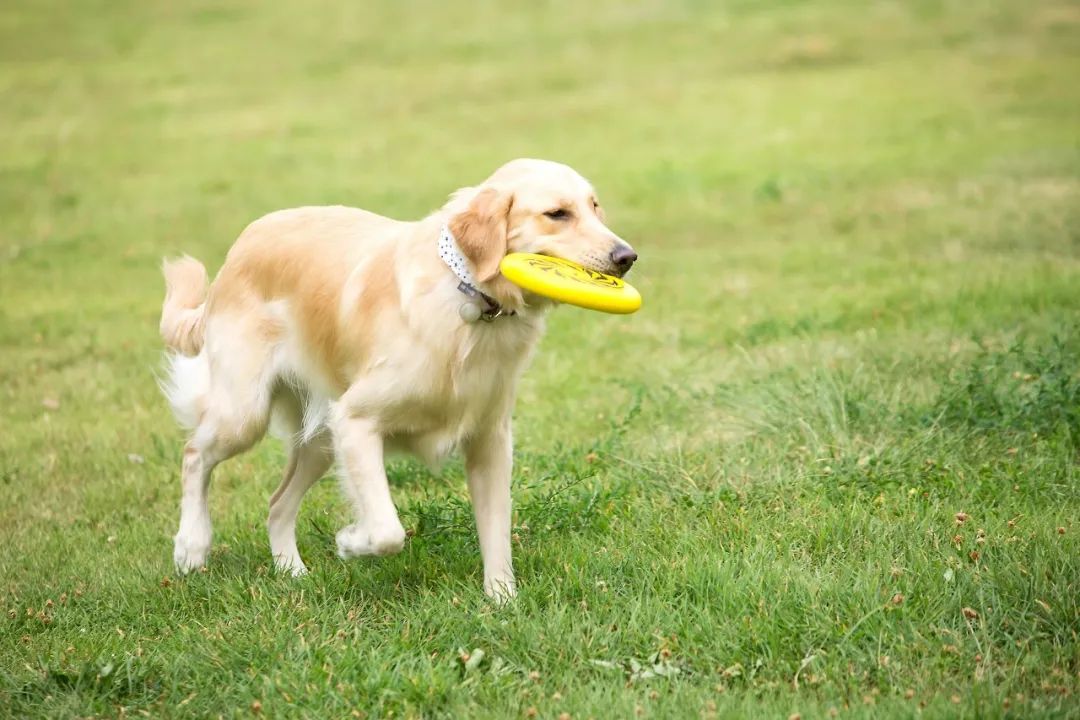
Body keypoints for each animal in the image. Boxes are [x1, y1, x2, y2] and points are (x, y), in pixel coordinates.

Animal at [156, 158, 635, 604]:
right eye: (557, 214)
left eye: (594, 207)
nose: (627, 257)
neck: (469, 300)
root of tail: (242, 244)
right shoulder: (356, 421)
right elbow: (388, 530)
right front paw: (351, 542)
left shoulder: (490, 441)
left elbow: (497, 531)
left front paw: (502, 600)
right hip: (248, 414)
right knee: (195, 454)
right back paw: (191, 546)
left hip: (321, 440)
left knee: (276, 505)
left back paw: (292, 571)